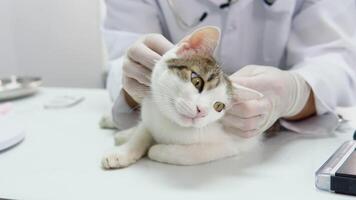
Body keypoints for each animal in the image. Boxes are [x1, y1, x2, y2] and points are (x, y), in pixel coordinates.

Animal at [101, 25, 262, 168]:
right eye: (196, 81)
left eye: (219, 106)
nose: (202, 112)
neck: (171, 123)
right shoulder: (150, 112)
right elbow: (142, 132)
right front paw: (123, 152)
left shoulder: (231, 144)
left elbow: (195, 154)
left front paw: (159, 150)